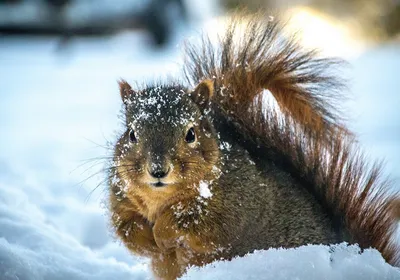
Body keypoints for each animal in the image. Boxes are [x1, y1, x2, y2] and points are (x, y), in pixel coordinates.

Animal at [105, 11, 400, 280]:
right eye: (131, 134)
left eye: (190, 134)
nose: (157, 170)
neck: (161, 199)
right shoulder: (121, 201)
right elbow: (127, 230)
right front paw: (149, 242)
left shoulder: (236, 205)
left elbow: (198, 224)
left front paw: (162, 234)